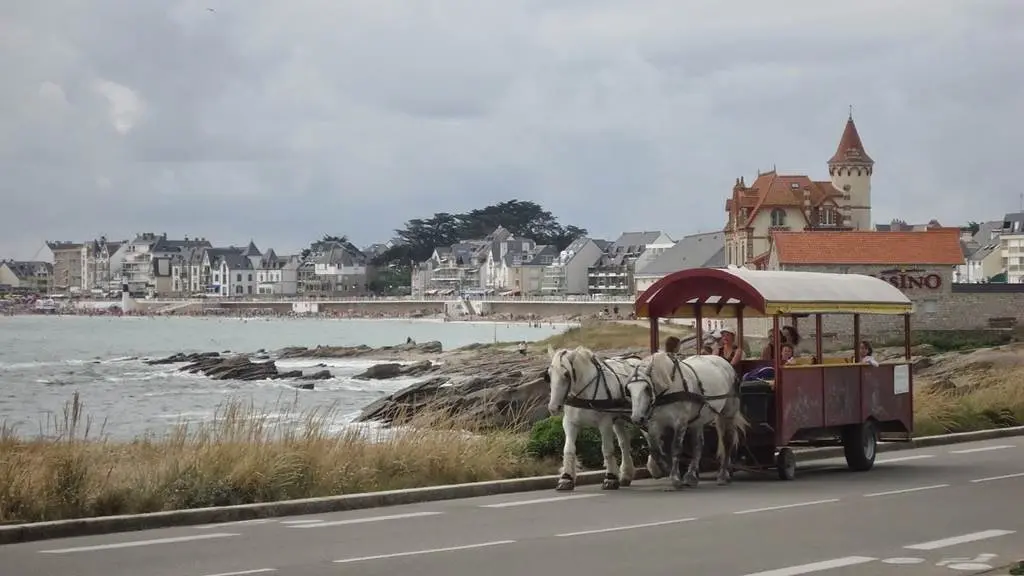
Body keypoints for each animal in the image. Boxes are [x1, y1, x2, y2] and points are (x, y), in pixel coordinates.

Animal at [544, 342, 638, 491]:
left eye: (566, 374)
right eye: (548, 375)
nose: (553, 407)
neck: (584, 393)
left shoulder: (605, 422)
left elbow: (607, 449)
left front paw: (610, 478)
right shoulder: (570, 422)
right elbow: (568, 449)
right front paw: (566, 478)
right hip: (618, 420)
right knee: (624, 443)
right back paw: (626, 475)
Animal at [618, 350, 749, 487]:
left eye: (646, 388)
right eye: (628, 390)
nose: (637, 418)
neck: (668, 389)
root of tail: (724, 362)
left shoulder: (680, 422)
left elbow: (675, 448)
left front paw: (675, 478)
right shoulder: (655, 424)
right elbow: (656, 450)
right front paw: (667, 469)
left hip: (728, 413)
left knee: (727, 440)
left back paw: (723, 474)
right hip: (698, 420)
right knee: (698, 445)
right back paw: (691, 475)